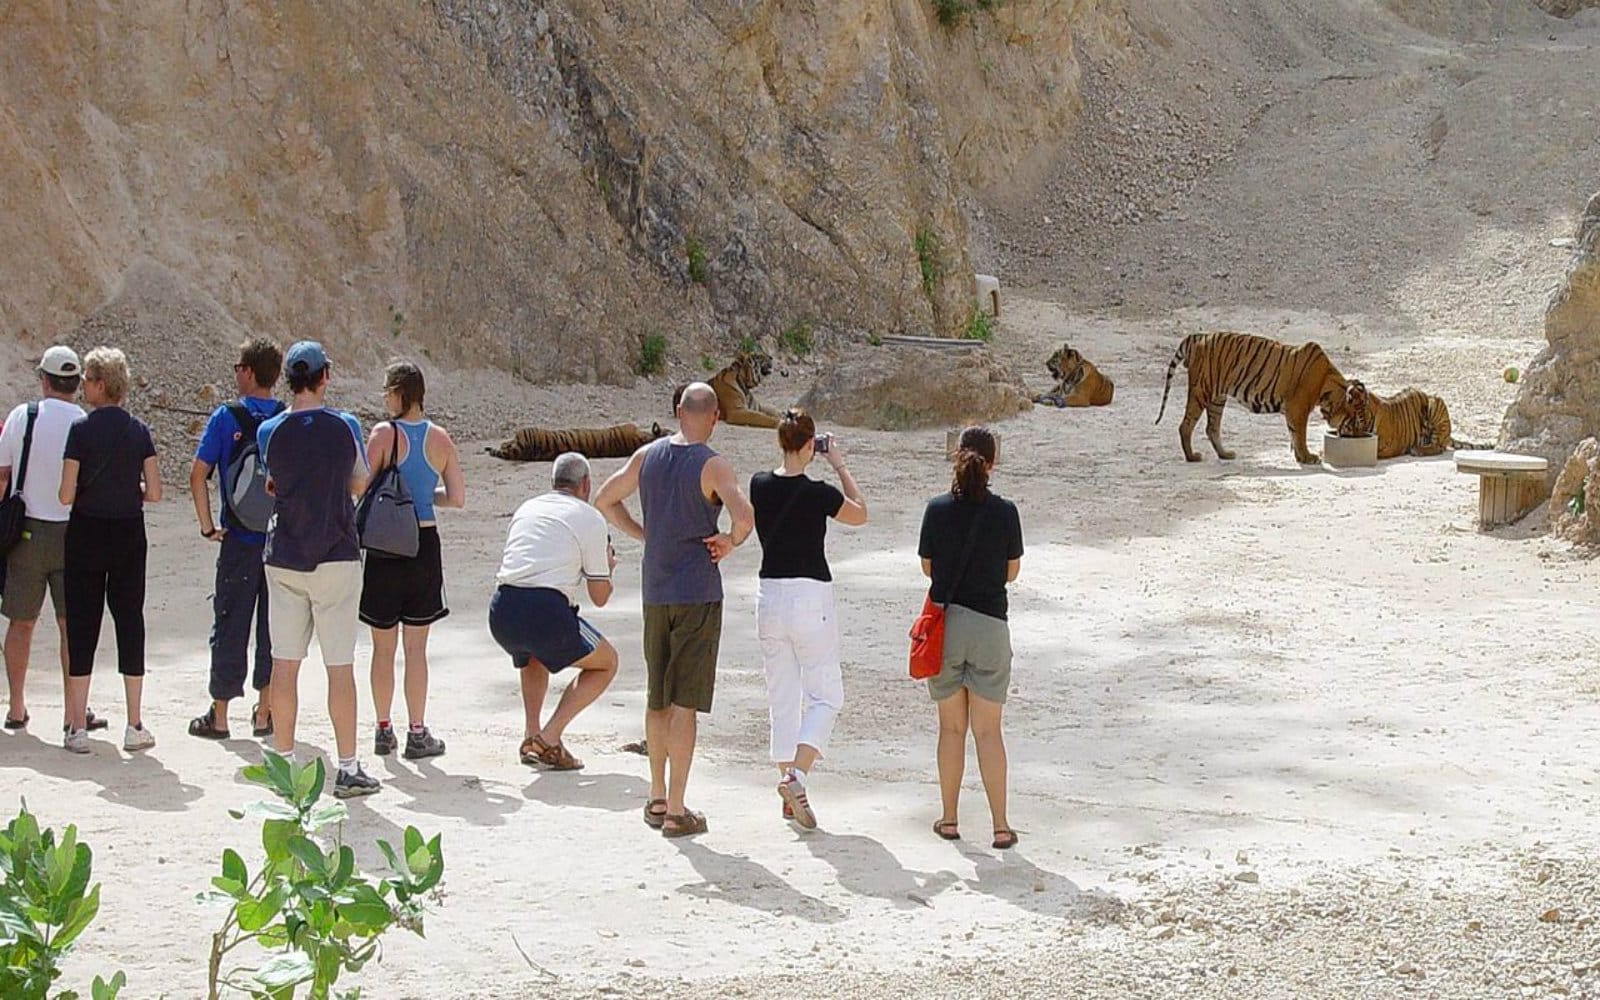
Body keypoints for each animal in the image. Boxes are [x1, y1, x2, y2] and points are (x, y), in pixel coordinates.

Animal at [1156, 331, 1346, 465]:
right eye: (1353, 418)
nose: (1350, 433)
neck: (1326, 379)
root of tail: (1198, 337)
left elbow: (1294, 435)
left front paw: (1301, 457)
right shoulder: (1297, 409)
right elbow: (1300, 435)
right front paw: (1307, 457)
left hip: (1217, 397)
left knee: (1211, 427)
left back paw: (1225, 454)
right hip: (1201, 391)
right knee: (1186, 425)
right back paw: (1192, 457)